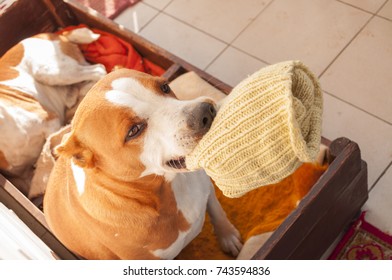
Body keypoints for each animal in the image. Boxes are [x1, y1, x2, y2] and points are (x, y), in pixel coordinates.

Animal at [0, 27, 106, 192]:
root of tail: (57, 34)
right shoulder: (23, 177)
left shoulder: (51, 123)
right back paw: (73, 96)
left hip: (51, 71)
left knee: (99, 69)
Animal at [44, 69, 243, 260]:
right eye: (134, 130)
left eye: (164, 87)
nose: (206, 111)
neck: (167, 186)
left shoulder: (204, 184)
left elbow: (217, 210)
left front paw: (228, 236)